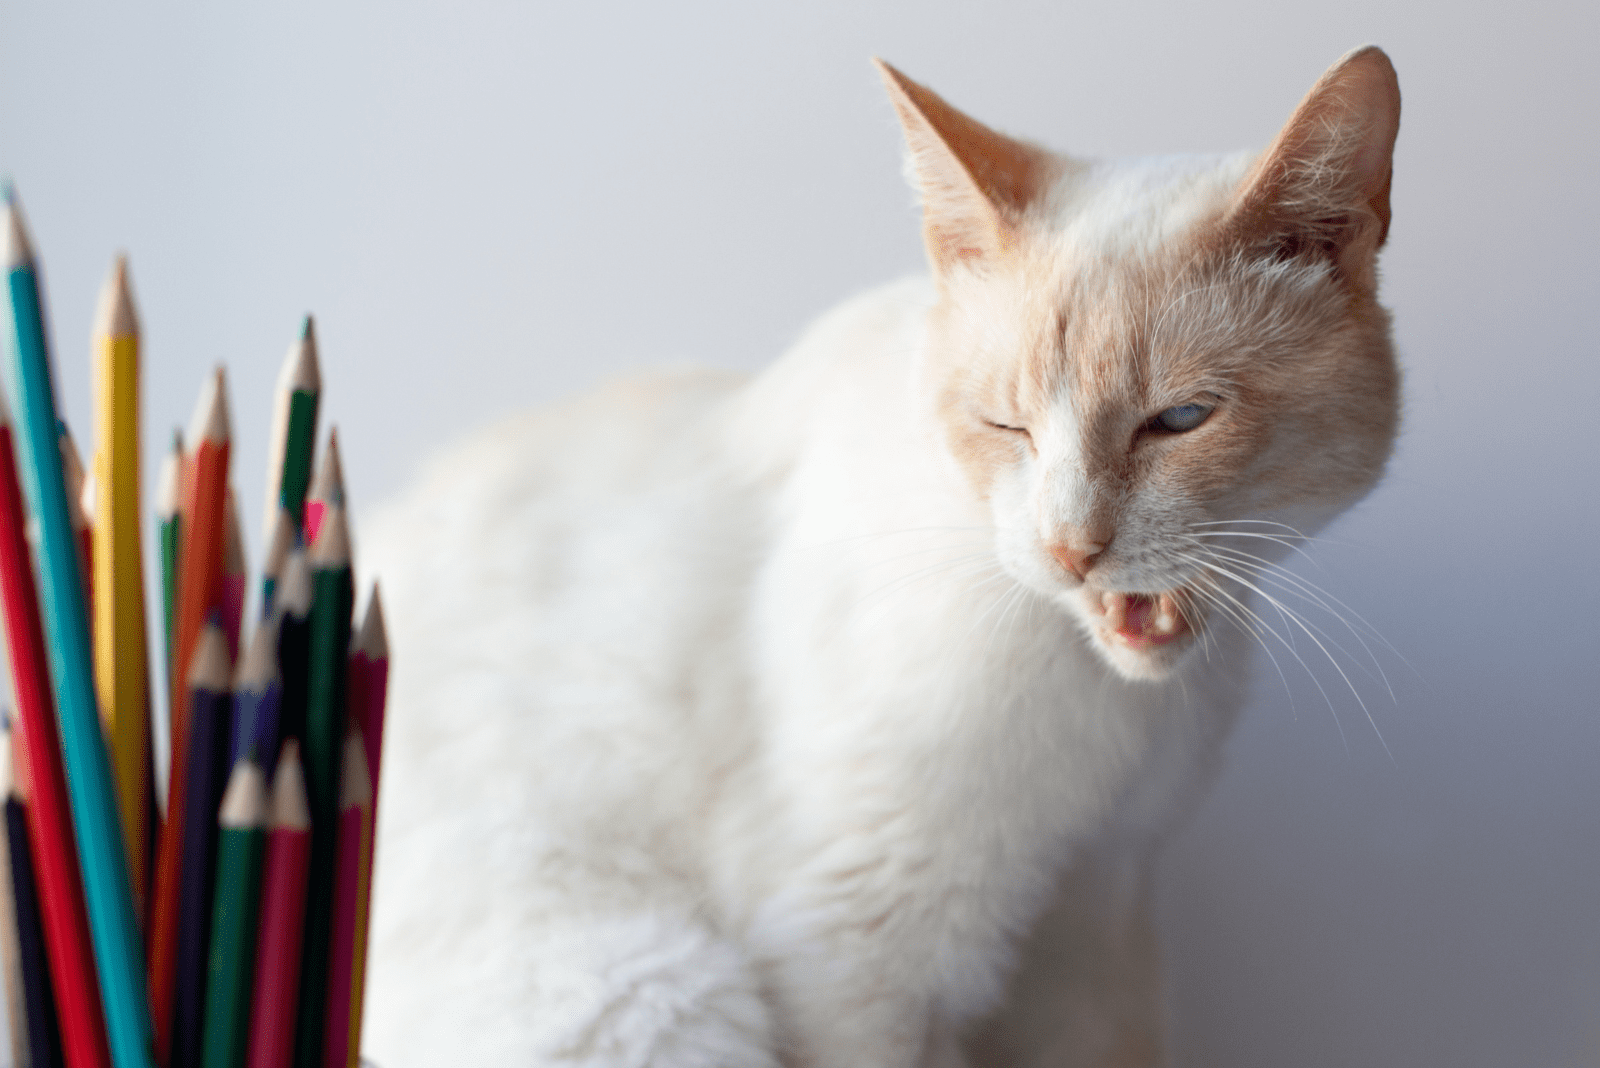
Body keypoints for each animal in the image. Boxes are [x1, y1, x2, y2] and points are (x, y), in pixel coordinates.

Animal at [360, 43, 1401, 1068]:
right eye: (1007, 426)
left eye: (1180, 420)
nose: (1070, 549)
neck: (1109, 709)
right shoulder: (855, 947)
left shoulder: (1099, 912)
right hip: (662, 992)